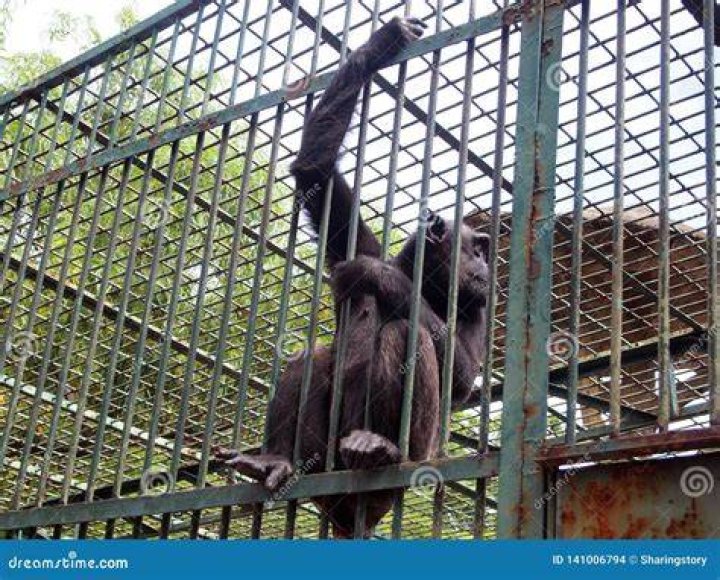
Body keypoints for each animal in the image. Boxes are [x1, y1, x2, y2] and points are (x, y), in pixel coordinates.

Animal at [215, 14, 490, 538]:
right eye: (478, 247)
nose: (487, 264)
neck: (429, 280)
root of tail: (348, 516)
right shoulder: (355, 236)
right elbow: (316, 173)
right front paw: (382, 42)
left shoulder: (478, 308)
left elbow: (463, 373)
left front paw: (374, 276)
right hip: (321, 465)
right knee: (312, 355)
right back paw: (274, 460)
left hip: (400, 481)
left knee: (407, 335)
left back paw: (380, 447)